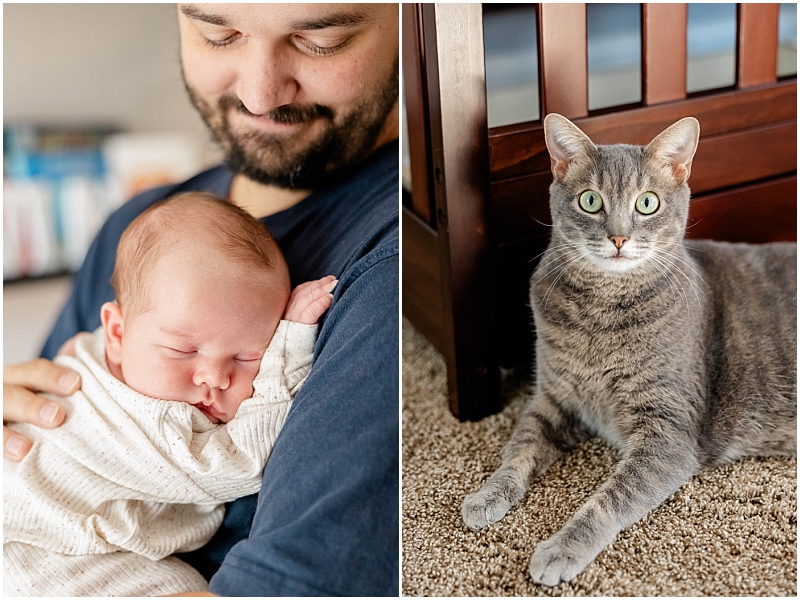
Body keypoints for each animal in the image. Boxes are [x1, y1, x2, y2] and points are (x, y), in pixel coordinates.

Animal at [460, 113, 796, 584]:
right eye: (590, 200)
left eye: (647, 203)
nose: (618, 238)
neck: (600, 314)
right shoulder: (552, 399)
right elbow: (518, 449)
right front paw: (488, 494)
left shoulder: (668, 434)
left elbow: (610, 500)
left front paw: (561, 548)